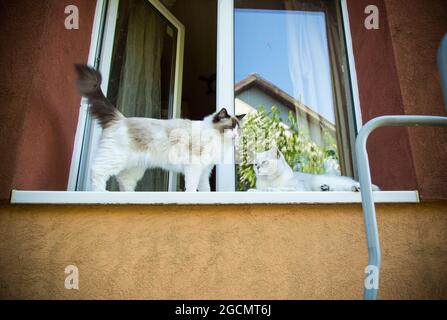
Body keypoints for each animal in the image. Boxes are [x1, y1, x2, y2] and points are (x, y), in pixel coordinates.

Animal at [75, 63, 247, 191]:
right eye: (230, 128)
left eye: (238, 129)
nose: (236, 136)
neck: (217, 139)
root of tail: (120, 118)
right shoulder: (194, 167)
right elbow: (192, 187)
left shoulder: (205, 171)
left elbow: (205, 189)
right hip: (115, 158)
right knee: (97, 171)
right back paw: (101, 193)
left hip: (134, 168)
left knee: (124, 182)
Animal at [250, 148, 380, 192]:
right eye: (255, 164)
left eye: (264, 162)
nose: (257, 167)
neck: (269, 181)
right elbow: (258, 190)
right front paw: (252, 190)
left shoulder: (298, 188)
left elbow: (281, 189)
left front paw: (271, 189)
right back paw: (325, 188)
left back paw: (357, 188)